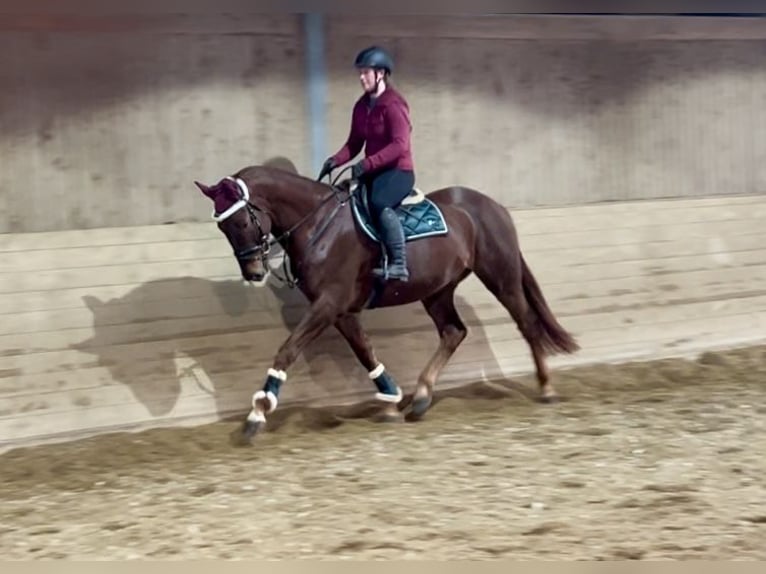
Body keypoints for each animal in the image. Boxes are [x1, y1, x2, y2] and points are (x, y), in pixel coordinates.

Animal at [195, 162, 580, 440]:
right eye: (223, 227)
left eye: (241, 221)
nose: (253, 273)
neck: (318, 225)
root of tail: (492, 205)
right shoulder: (340, 310)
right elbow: (365, 352)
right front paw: (391, 401)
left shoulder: (329, 304)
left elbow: (288, 349)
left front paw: (258, 412)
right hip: (438, 290)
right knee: (453, 332)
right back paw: (421, 397)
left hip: (501, 276)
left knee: (525, 322)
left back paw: (546, 388)